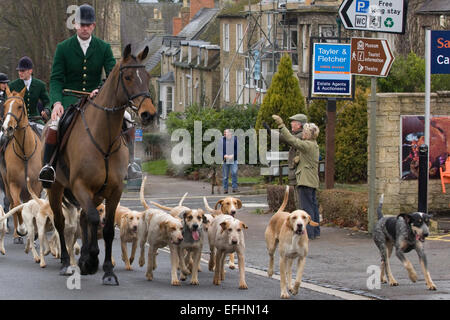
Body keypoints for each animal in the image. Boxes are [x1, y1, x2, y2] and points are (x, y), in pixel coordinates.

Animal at [0, 86, 42, 241]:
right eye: (5, 106)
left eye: (19, 106)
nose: (7, 128)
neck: (24, 151)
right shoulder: (14, 184)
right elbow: (17, 205)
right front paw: (22, 229)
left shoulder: (36, 185)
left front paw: (35, 233)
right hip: (6, 185)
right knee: (13, 204)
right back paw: (17, 234)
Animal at [47, 43, 156, 284]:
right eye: (127, 77)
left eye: (147, 76)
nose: (149, 114)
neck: (103, 136)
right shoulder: (80, 186)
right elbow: (95, 219)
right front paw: (91, 260)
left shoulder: (114, 190)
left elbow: (106, 229)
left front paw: (106, 270)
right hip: (56, 189)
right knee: (61, 221)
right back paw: (67, 262)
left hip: (95, 193)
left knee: (84, 218)